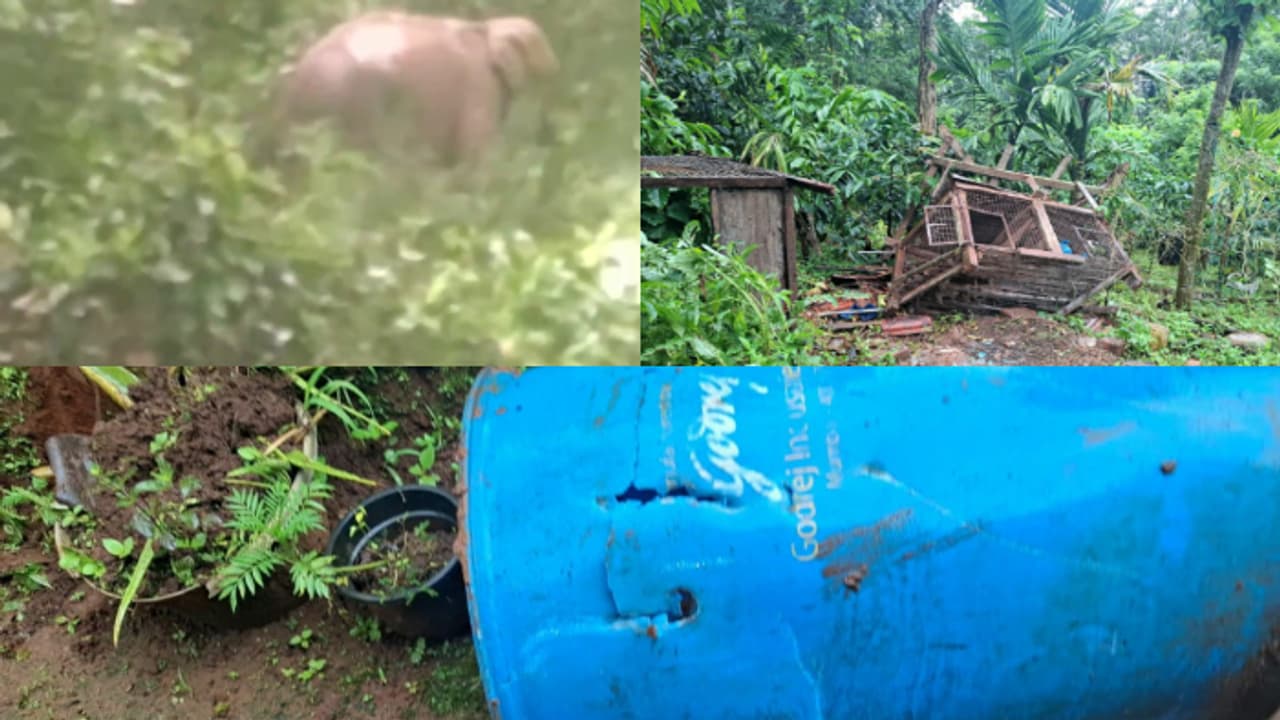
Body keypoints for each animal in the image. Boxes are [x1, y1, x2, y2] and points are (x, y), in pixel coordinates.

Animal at [259, 10, 560, 171]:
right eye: (544, 72)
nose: (548, 138)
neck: (487, 27)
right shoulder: (479, 85)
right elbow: (472, 154)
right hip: (364, 108)